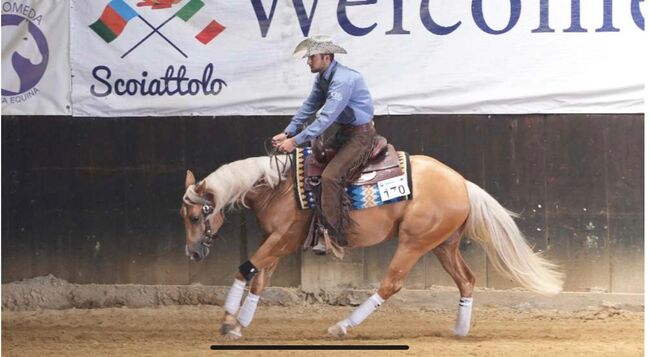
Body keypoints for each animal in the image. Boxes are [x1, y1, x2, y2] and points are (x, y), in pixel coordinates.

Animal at [181, 153, 560, 340]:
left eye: (197, 216)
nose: (193, 253)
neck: (278, 186)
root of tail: (462, 183)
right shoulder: (273, 240)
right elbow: (259, 277)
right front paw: (239, 324)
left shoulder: (282, 239)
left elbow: (245, 269)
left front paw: (228, 321)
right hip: (443, 245)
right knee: (466, 281)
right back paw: (460, 330)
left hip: (413, 243)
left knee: (390, 284)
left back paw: (343, 326)